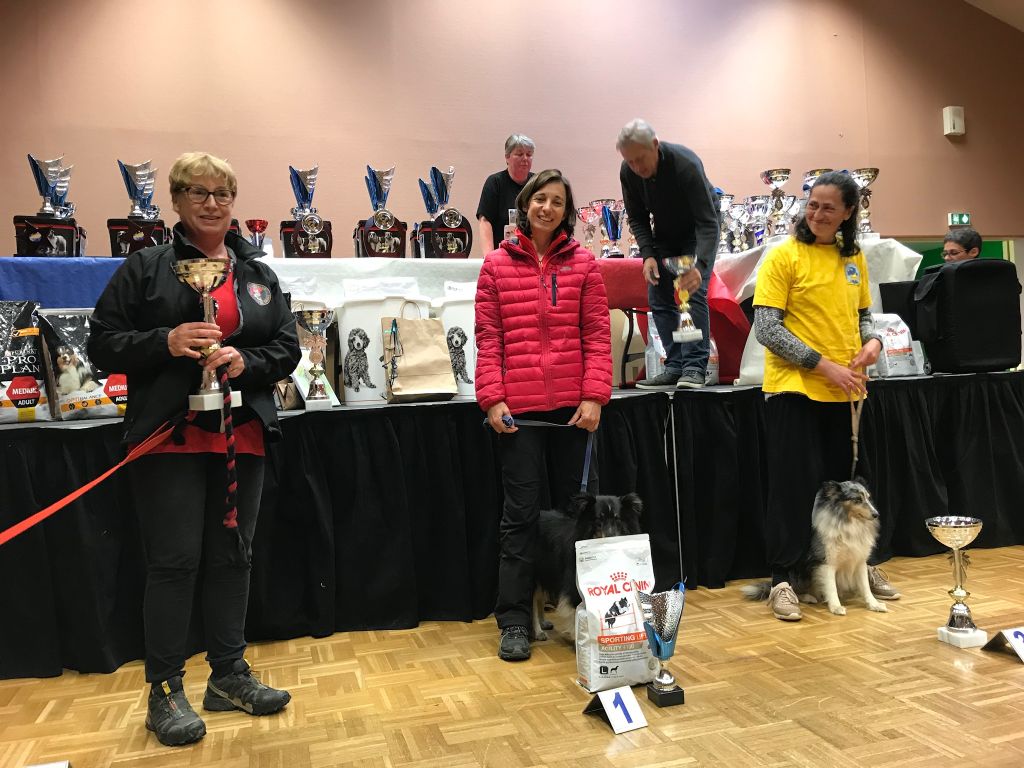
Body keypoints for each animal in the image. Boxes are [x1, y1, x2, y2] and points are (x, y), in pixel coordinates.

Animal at [532, 493, 643, 643]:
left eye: (617, 518)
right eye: (599, 519)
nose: (610, 538)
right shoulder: (573, 586)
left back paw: (543, 623)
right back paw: (538, 631)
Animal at [745, 483, 888, 618]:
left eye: (868, 498)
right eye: (857, 499)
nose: (876, 514)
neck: (848, 522)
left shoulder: (859, 562)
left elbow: (865, 587)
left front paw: (874, 604)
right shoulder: (827, 563)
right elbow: (831, 587)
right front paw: (836, 607)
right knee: (795, 589)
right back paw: (808, 597)